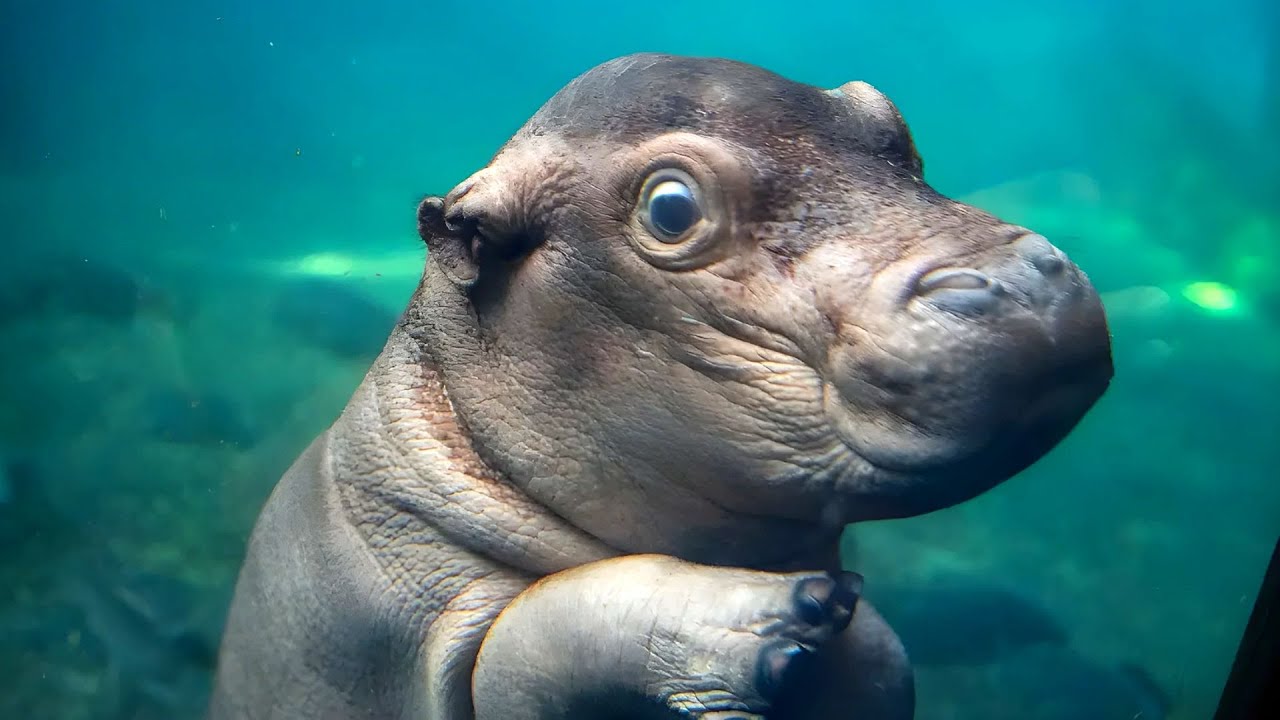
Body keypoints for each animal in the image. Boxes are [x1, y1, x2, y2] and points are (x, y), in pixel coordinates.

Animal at [208, 53, 1113, 720]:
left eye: (892, 124)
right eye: (671, 208)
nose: (1023, 284)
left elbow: (886, 660)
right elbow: (524, 642)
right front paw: (783, 625)